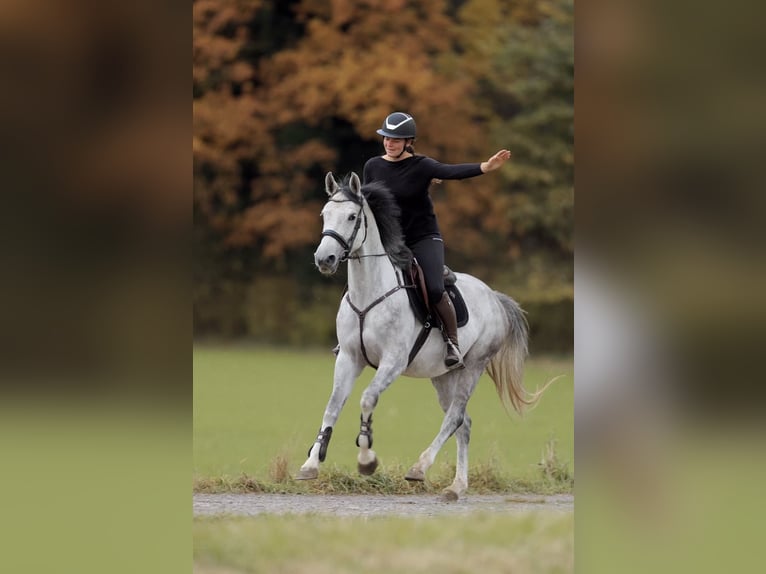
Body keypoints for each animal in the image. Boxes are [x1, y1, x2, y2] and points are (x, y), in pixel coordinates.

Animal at [297, 171, 548, 500]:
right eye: (325, 214)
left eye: (352, 216)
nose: (324, 259)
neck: (369, 293)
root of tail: (494, 297)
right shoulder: (349, 359)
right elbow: (332, 407)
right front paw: (311, 463)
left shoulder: (393, 361)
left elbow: (367, 399)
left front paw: (366, 459)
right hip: (442, 375)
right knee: (463, 423)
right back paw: (456, 486)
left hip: (473, 367)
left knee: (455, 418)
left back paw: (420, 468)